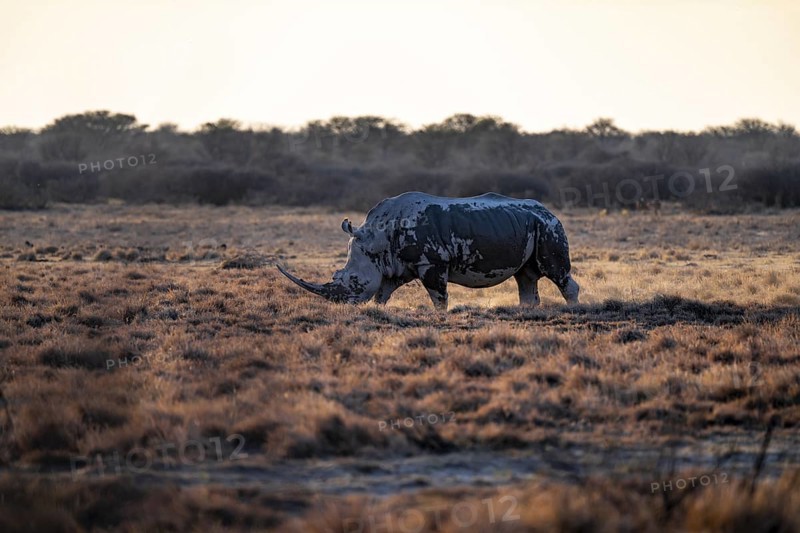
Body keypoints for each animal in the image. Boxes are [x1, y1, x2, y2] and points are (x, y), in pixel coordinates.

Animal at [277, 192, 579, 310]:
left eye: (352, 281)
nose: (343, 306)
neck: (376, 238)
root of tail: (550, 211)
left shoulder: (431, 263)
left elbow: (438, 296)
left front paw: (440, 315)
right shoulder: (396, 264)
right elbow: (383, 291)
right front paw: (378, 310)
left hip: (549, 227)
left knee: (555, 271)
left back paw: (573, 308)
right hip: (527, 225)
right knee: (525, 276)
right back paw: (527, 311)